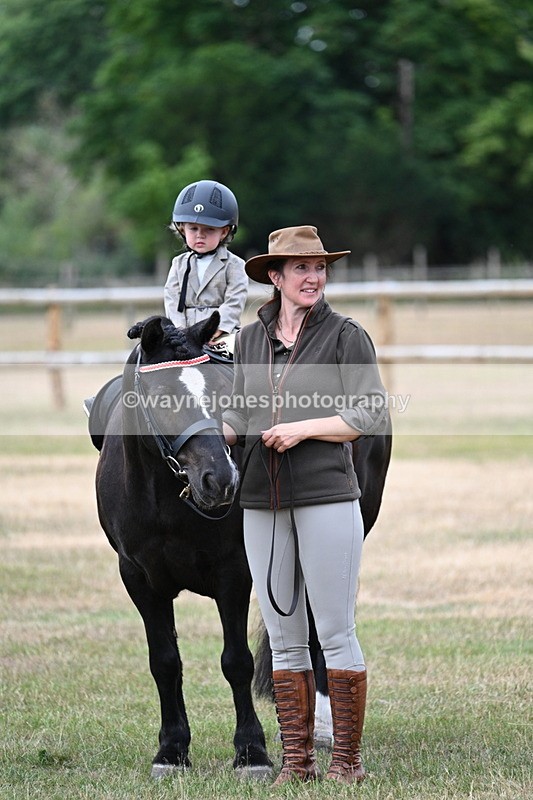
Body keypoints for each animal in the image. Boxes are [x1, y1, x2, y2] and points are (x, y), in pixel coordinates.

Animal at [92, 311, 272, 779]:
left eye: (222, 391)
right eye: (161, 396)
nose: (221, 480)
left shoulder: (234, 573)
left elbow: (236, 661)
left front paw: (252, 752)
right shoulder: (139, 578)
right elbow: (165, 662)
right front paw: (172, 749)